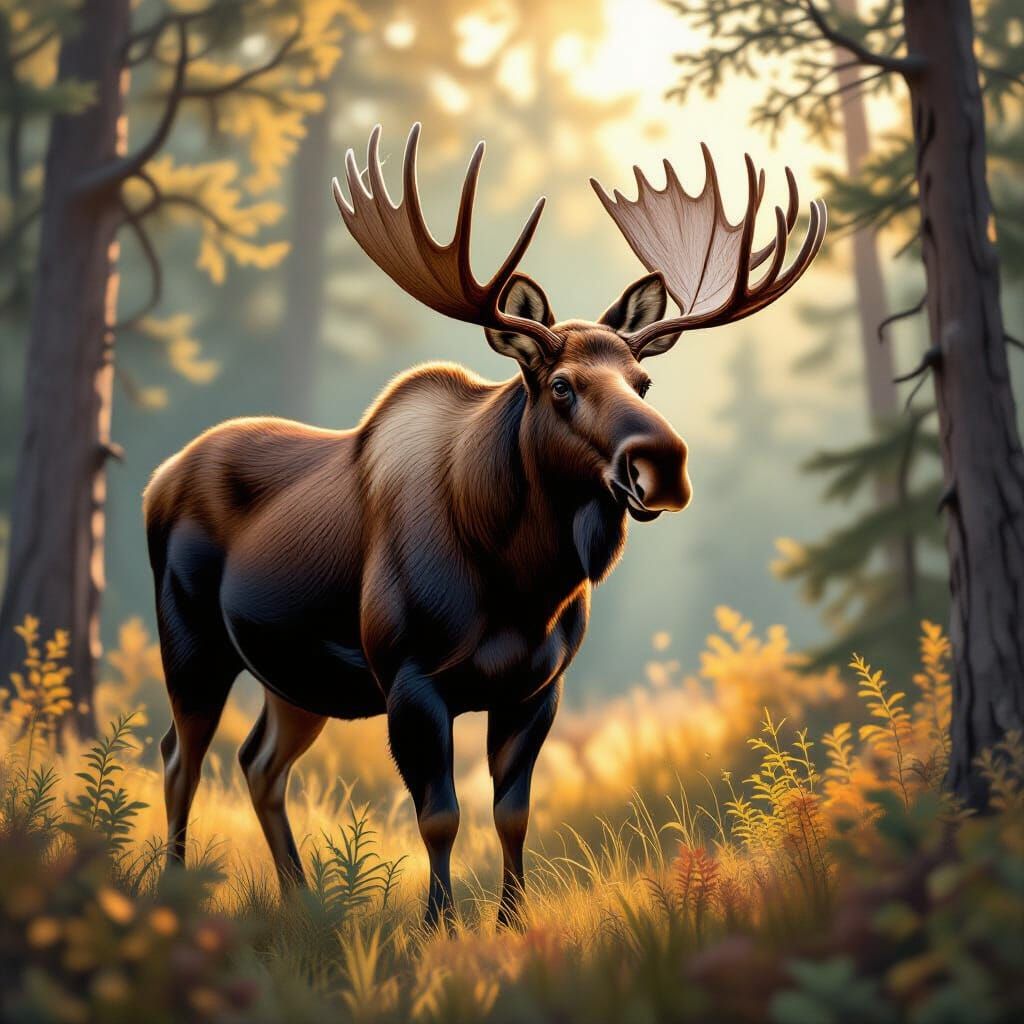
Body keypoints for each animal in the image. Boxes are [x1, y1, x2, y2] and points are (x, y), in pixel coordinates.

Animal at [144, 124, 825, 929]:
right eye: (561, 385)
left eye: (644, 381)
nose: (661, 463)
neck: (519, 584)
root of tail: (158, 478)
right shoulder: (410, 677)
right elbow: (439, 815)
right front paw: (437, 926)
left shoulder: (536, 687)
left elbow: (513, 813)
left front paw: (510, 922)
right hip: (191, 636)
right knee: (181, 756)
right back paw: (174, 893)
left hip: (297, 675)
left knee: (259, 762)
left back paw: (301, 902)